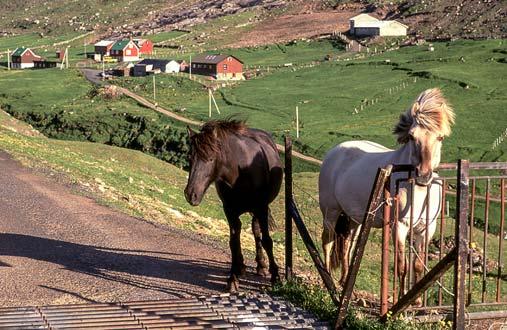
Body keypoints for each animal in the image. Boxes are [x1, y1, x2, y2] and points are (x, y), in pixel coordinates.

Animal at [185, 118, 284, 292]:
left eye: (211, 159)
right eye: (190, 158)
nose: (191, 194)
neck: (240, 172)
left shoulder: (261, 207)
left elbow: (267, 240)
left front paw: (275, 277)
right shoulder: (229, 210)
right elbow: (233, 242)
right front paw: (233, 278)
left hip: (257, 210)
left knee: (257, 231)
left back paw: (261, 266)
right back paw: (242, 266)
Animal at [320, 88, 454, 300]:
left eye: (440, 137)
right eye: (412, 136)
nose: (423, 176)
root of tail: (333, 153)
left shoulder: (426, 229)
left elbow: (418, 265)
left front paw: (417, 301)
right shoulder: (399, 227)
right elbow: (402, 266)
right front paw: (402, 297)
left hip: (355, 219)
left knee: (348, 244)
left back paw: (345, 284)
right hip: (330, 212)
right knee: (328, 241)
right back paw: (330, 282)